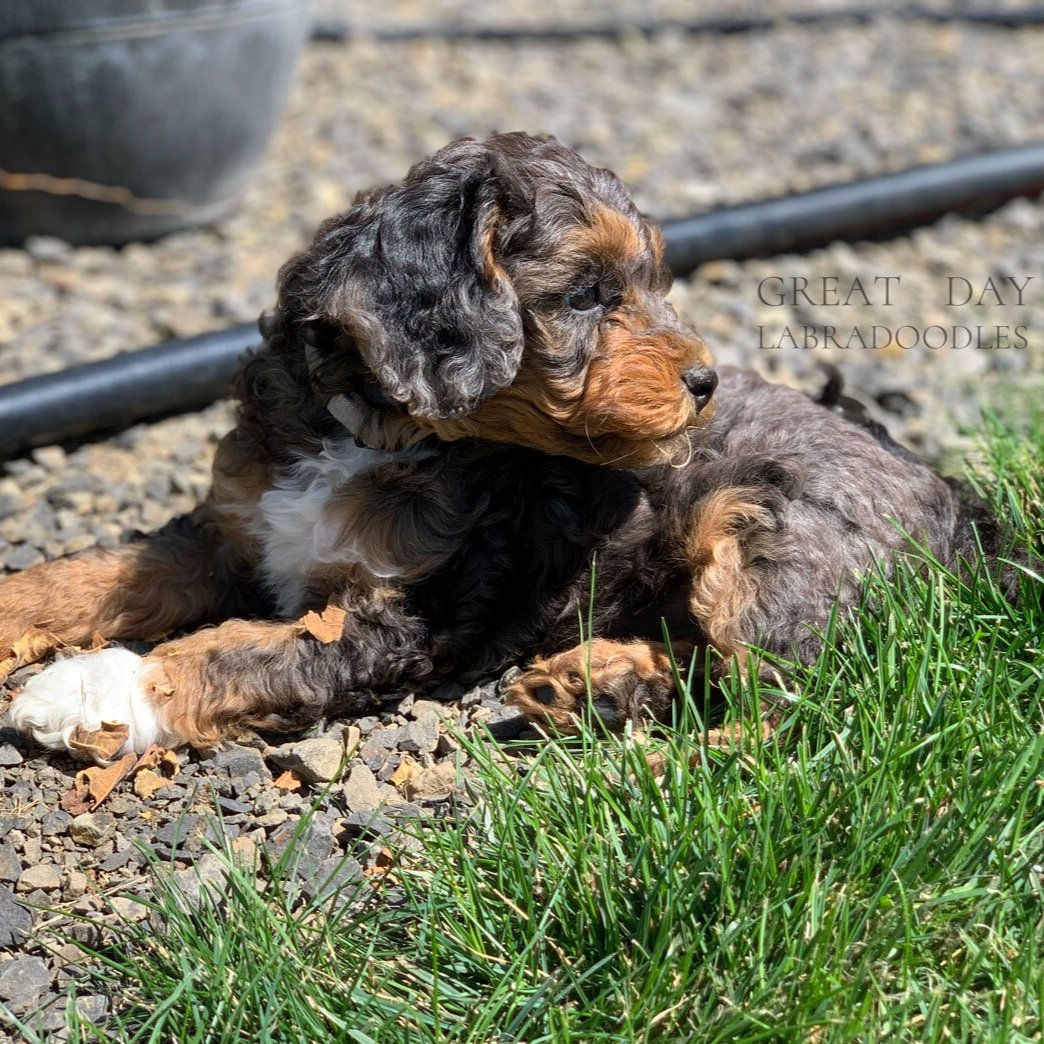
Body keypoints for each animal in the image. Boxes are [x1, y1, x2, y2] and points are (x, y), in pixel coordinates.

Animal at [4, 134, 998, 764]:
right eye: (586, 293)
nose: (705, 381)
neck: (368, 431)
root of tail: (974, 522)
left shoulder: (409, 617)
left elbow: (238, 649)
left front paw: (93, 692)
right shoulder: (234, 527)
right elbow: (100, 570)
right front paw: (22, 605)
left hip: (765, 526)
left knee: (796, 712)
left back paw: (662, 773)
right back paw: (592, 686)